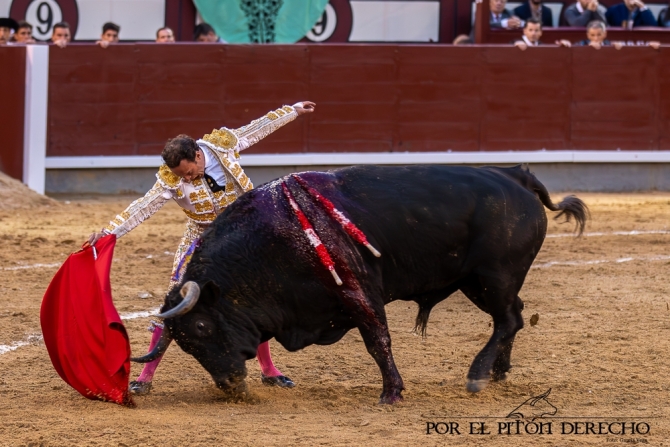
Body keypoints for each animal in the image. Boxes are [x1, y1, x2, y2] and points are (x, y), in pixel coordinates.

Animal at [133, 165, 588, 406]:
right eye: (185, 345)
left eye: (203, 326)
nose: (229, 387)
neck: (270, 241)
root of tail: (514, 175)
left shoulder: (359, 293)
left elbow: (377, 341)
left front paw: (392, 393)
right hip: (486, 283)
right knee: (513, 317)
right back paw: (498, 372)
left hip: (492, 277)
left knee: (508, 319)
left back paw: (478, 375)